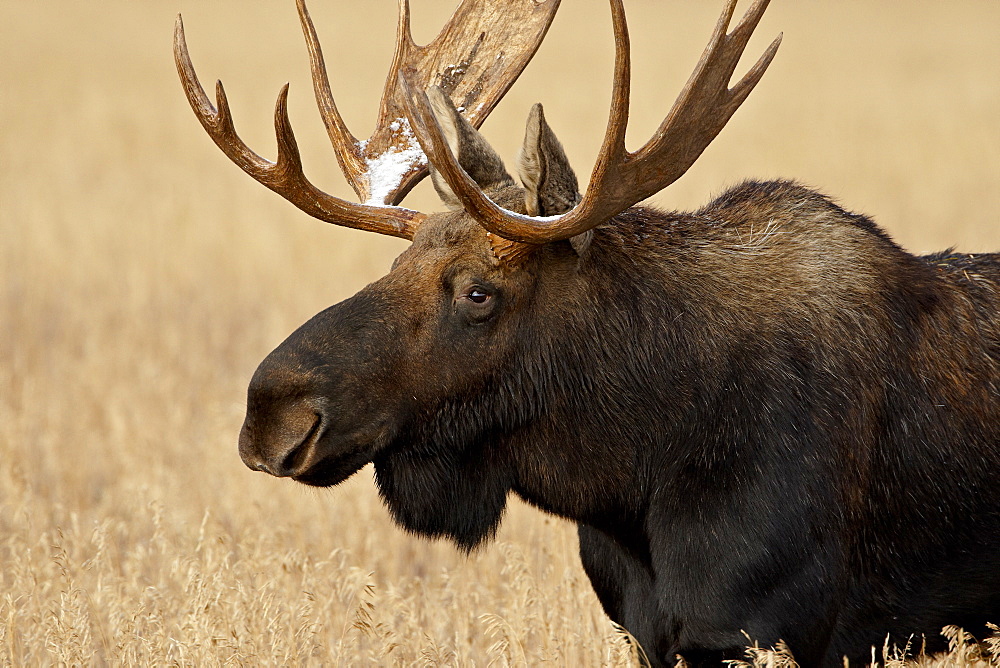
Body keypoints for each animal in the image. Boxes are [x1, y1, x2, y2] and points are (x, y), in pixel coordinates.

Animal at [174, 0, 1000, 660]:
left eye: (479, 292)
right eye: (399, 261)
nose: (272, 411)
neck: (637, 464)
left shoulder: (767, 624)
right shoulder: (646, 629)